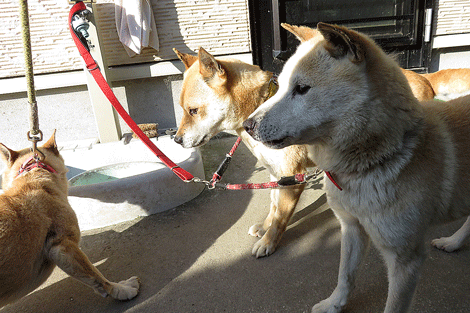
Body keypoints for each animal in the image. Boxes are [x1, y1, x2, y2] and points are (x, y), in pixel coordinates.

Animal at [173, 46, 316, 256]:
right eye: (182, 109)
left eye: (193, 110)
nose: (176, 140)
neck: (259, 106)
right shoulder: (276, 173)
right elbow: (274, 205)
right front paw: (265, 227)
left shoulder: (293, 176)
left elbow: (280, 218)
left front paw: (268, 242)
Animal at [244, 23, 470, 310]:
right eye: (280, 86)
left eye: (302, 88)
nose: (247, 126)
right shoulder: (351, 227)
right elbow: (345, 276)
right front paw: (334, 304)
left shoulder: (405, 261)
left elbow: (393, 305)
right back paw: (453, 242)